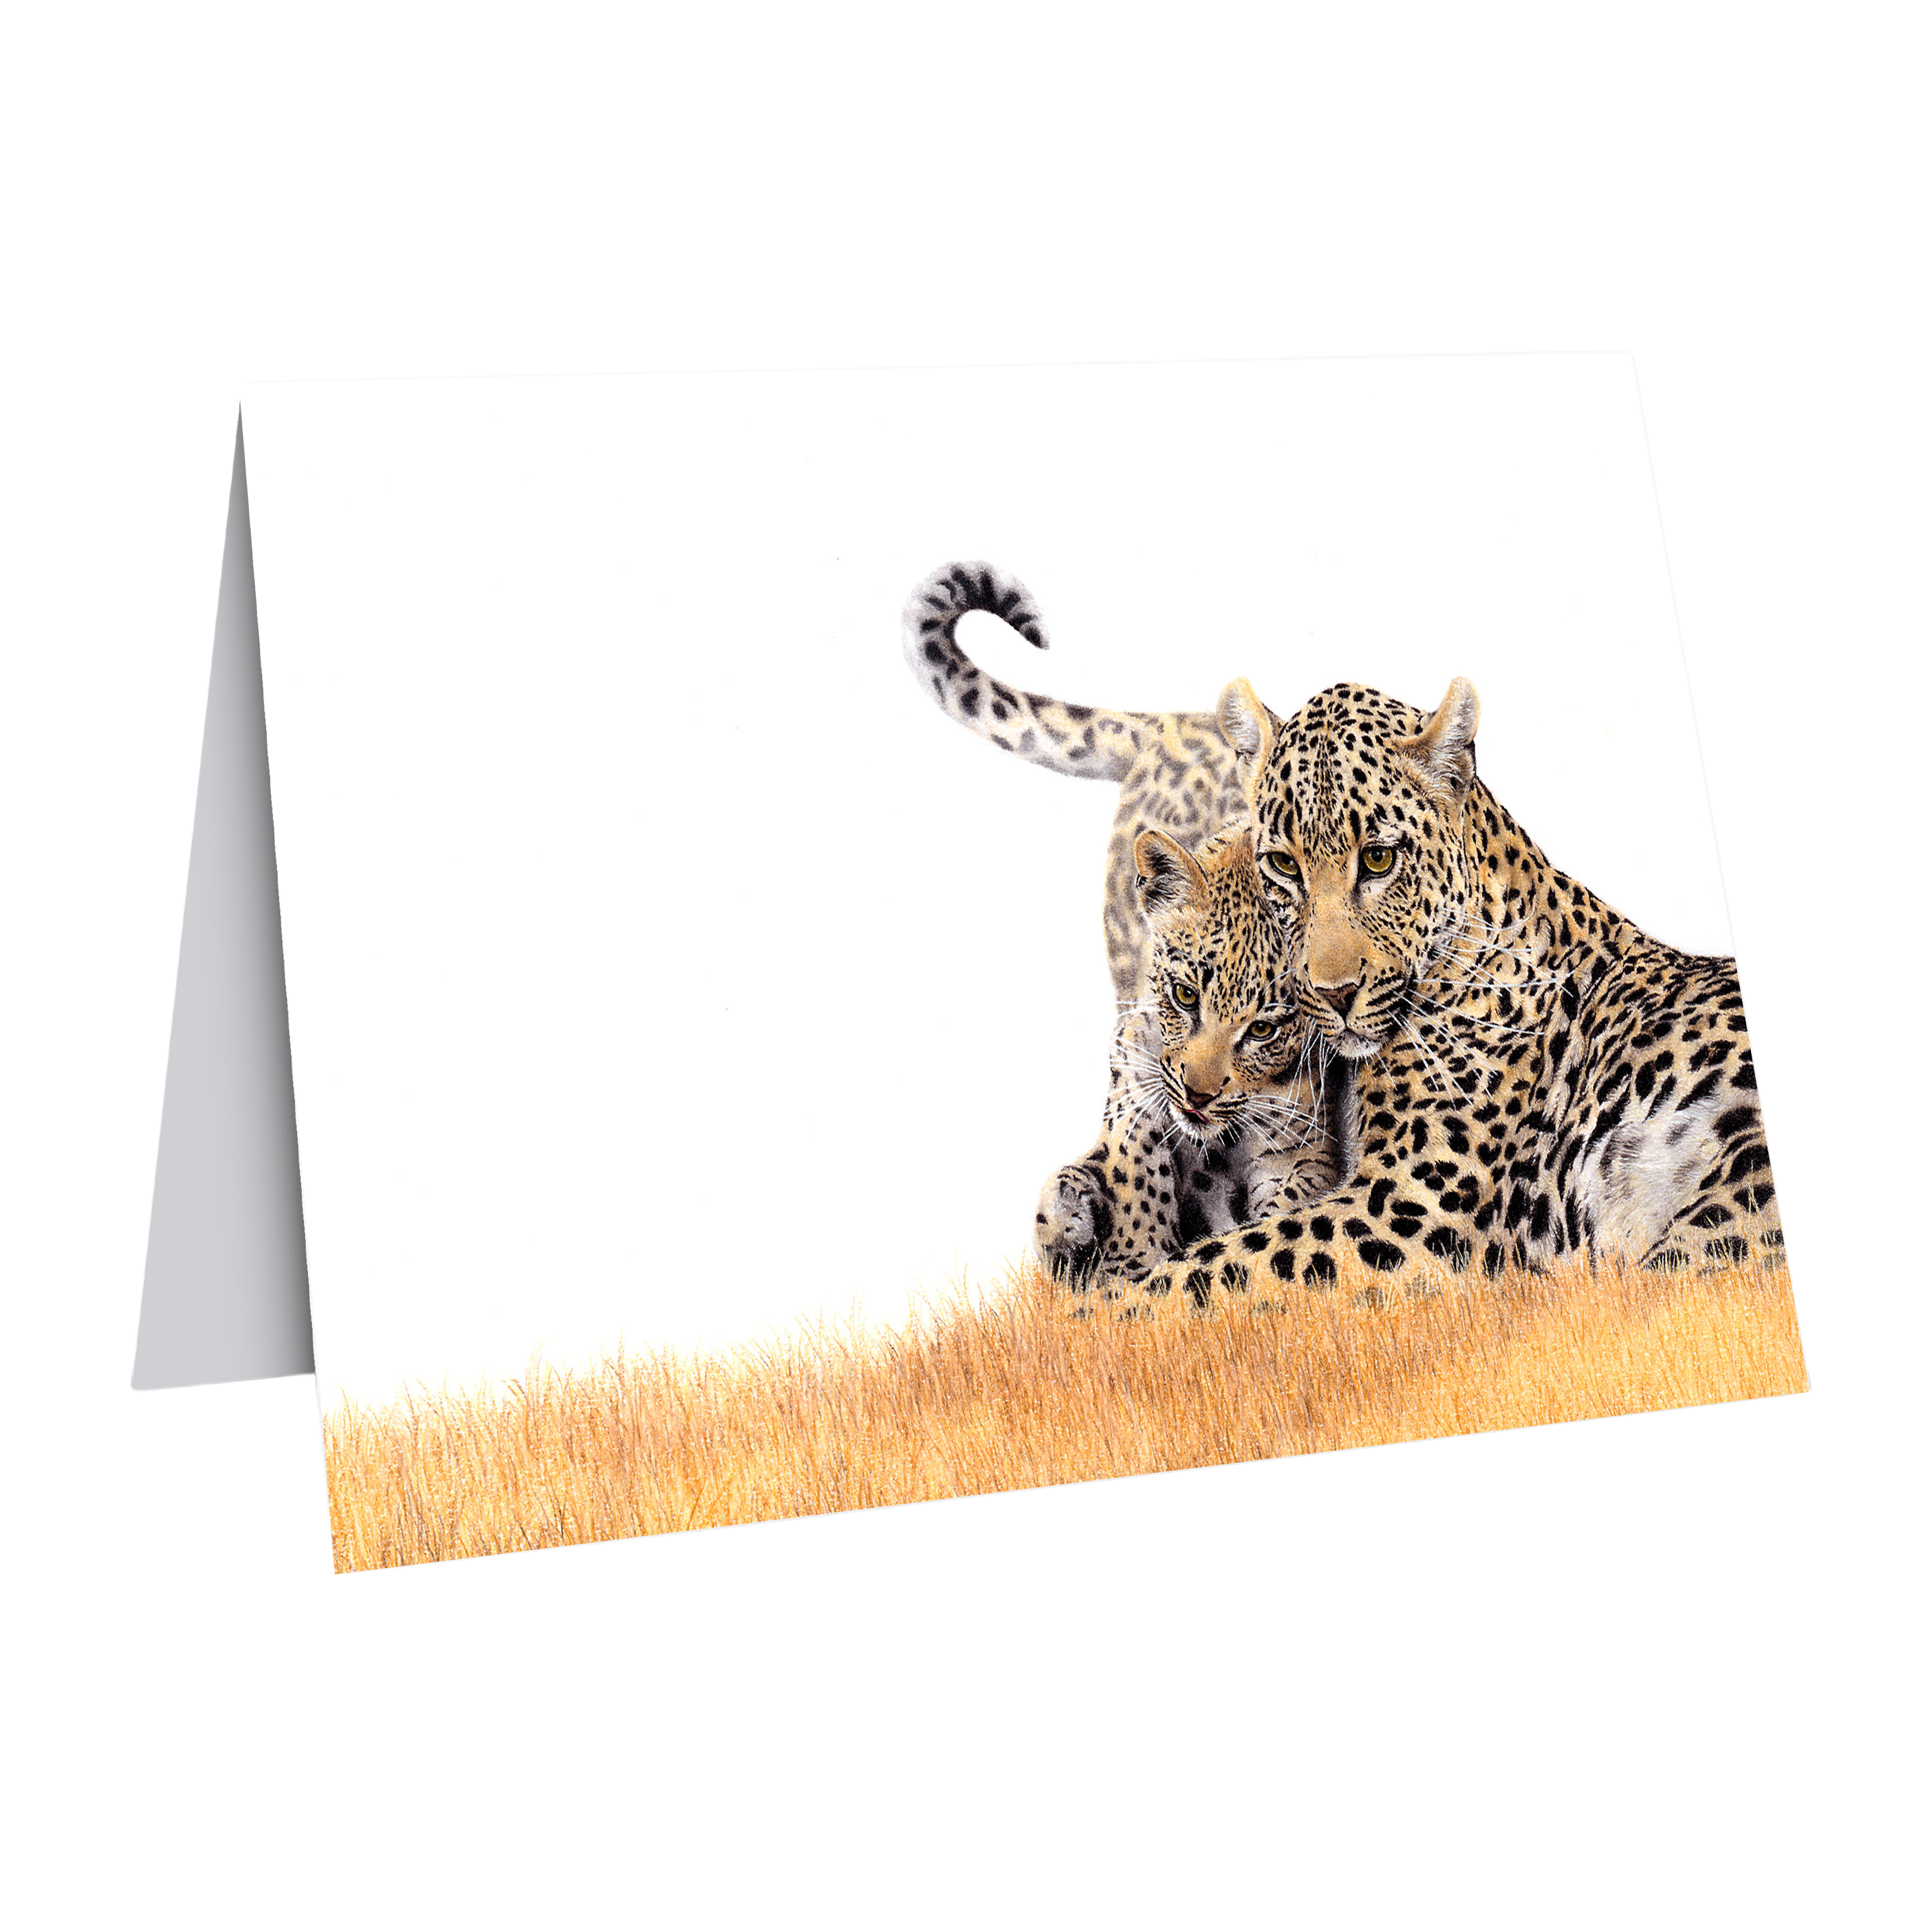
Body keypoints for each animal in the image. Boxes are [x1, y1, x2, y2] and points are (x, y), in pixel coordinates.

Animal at [1034, 820, 1340, 1294]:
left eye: (1262, 1029)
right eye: (1184, 995)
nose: (1197, 1096)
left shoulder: (1300, 1151)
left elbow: (1281, 1215)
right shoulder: (1131, 1065)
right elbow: (1133, 1163)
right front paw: (1132, 1262)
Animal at [1091, 673, 1787, 1314]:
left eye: (1378, 859)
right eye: (1284, 865)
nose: (1333, 993)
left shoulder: (1410, 1208)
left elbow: (1199, 1274)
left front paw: (1089, 1314)